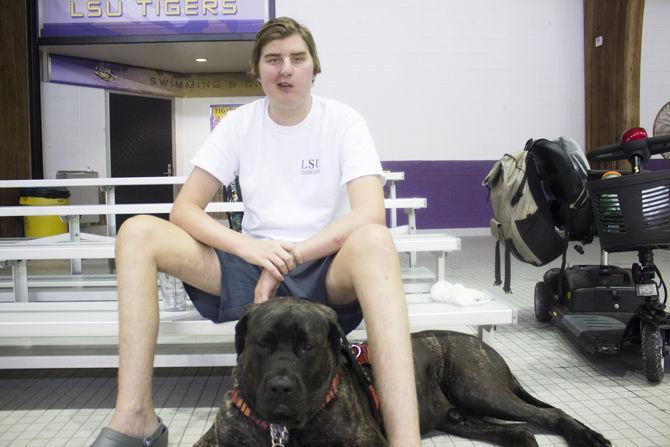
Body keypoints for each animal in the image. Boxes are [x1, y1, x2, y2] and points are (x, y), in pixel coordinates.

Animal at [194, 298, 616, 447]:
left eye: (306, 346)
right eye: (262, 343)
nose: (281, 387)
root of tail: (483, 345)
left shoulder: (367, 441)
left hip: (478, 388)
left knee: (549, 414)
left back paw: (587, 436)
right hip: (461, 416)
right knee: (521, 432)